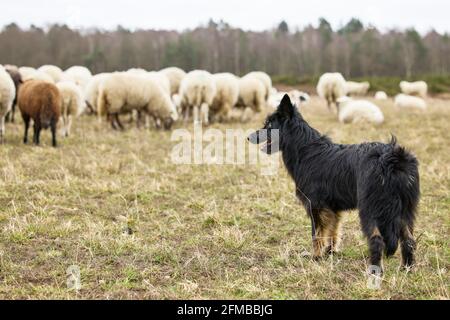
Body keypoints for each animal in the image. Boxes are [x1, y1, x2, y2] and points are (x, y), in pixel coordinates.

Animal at [248, 94, 420, 272]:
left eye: (269, 125)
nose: (248, 137)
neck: (304, 149)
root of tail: (392, 158)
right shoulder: (332, 209)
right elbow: (333, 231)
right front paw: (330, 252)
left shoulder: (316, 206)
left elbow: (316, 234)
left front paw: (316, 257)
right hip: (404, 210)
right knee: (408, 239)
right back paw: (406, 268)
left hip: (371, 210)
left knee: (377, 240)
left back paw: (374, 271)